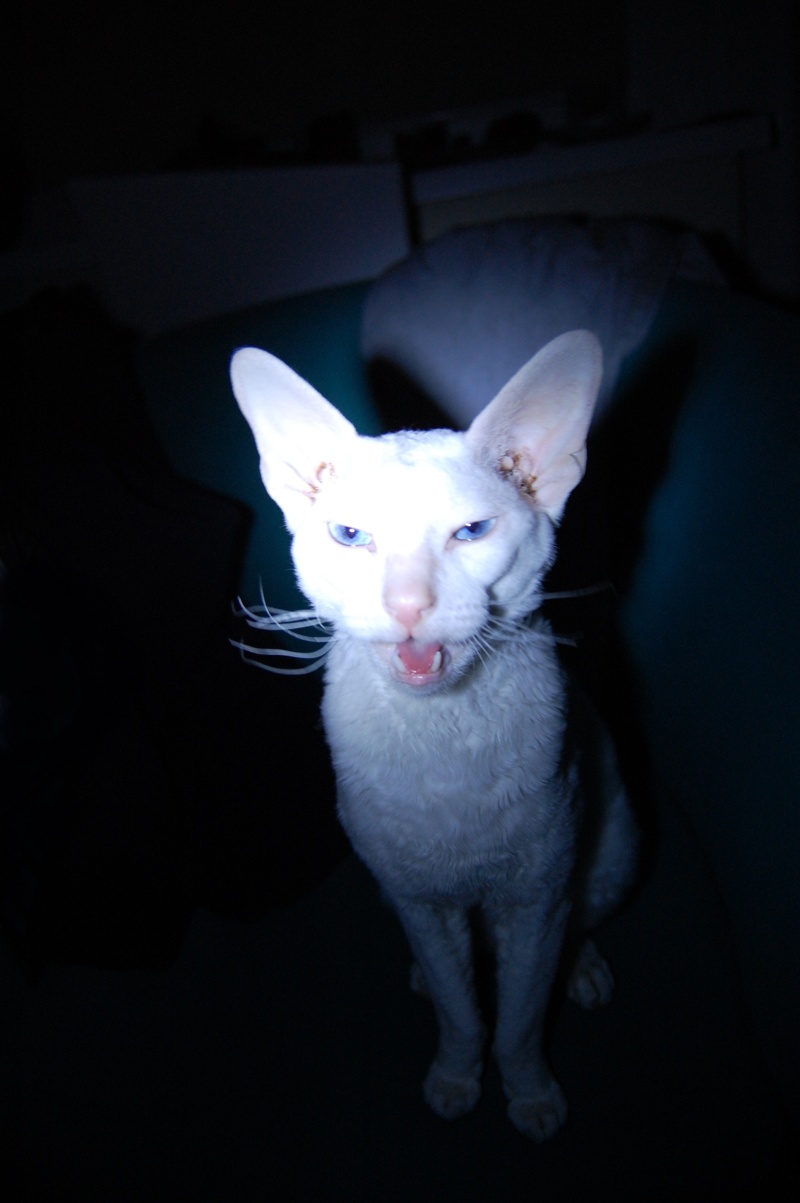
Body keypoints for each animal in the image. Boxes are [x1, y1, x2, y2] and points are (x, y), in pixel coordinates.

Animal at [229, 331, 638, 1141]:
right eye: (350, 535)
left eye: (472, 532)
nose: (409, 605)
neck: (443, 736)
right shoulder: (418, 894)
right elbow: (462, 1010)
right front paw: (456, 1077)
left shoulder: (537, 889)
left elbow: (519, 1017)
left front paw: (531, 1095)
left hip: (612, 850)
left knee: (577, 921)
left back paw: (582, 968)